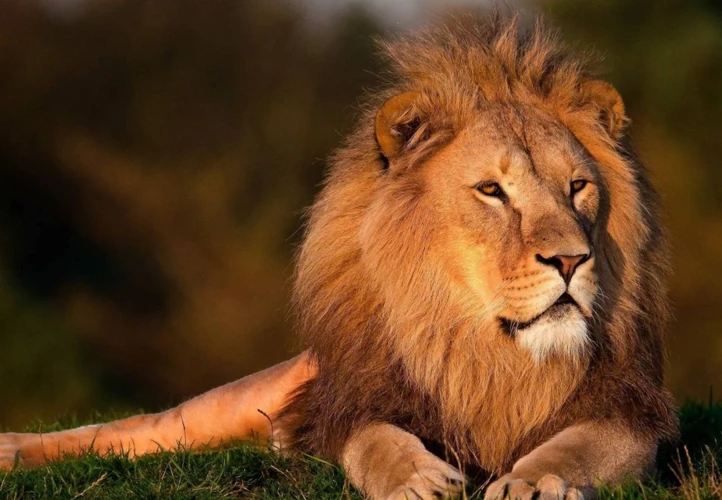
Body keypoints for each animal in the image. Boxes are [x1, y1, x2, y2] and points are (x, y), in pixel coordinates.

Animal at [0, 13, 676, 498]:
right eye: (492, 191)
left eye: (578, 187)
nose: (570, 261)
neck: (484, 351)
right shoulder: (352, 402)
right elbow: (375, 442)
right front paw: (417, 480)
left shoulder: (628, 412)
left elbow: (578, 446)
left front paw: (534, 482)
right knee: (139, 430)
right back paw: (12, 448)